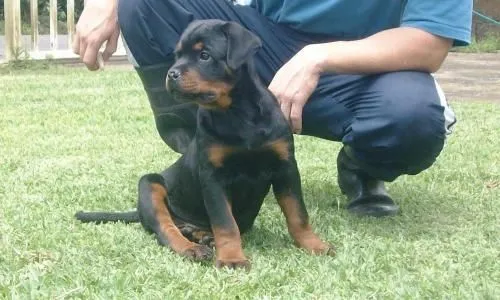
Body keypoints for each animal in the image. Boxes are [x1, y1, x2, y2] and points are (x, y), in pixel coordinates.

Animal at [75, 19, 336, 270]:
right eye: (177, 55)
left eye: (204, 55)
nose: (171, 74)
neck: (237, 113)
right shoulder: (213, 177)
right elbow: (225, 222)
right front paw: (232, 259)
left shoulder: (285, 167)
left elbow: (297, 213)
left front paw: (314, 245)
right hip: (150, 185)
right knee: (165, 229)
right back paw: (192, 247)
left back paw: (201, 235)